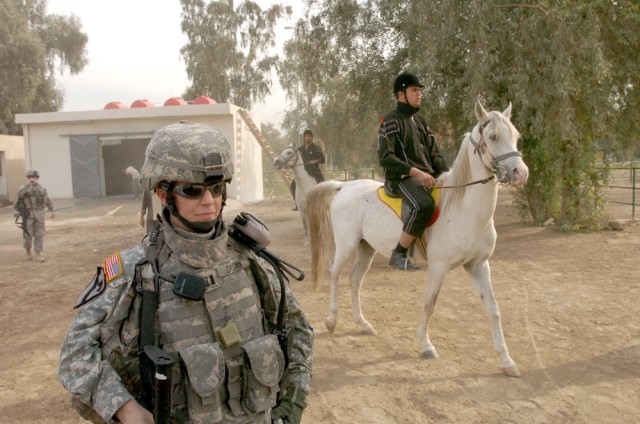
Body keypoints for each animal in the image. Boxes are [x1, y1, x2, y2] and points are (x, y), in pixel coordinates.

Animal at [308, 101, 528, 376]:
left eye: (516, 136)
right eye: (493, 136)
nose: (521, 173)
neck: (462, 208)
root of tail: (344, 186)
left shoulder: (478, 265)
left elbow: (494, 310)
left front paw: (507, 361)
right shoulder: (439, 267)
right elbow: (429, 304)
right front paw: (426, 346)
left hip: (366, 248)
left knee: (355, 281)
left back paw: (363, 324)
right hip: (346, 246)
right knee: (335, 274)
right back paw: (331, 320)